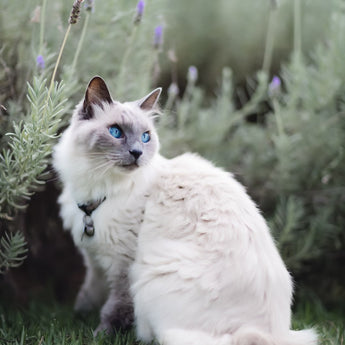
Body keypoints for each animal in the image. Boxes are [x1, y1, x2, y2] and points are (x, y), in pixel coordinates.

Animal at [54, 76, 318, 344]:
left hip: (151, 273)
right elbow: (89, 291)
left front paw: (99, 334)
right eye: (116, 131)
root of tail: (270, 334)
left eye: (145, 137)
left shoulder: (123, 264)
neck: (95, 191)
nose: (137, 153)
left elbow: (115, 308)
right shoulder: (93, 258)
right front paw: (79, 315)